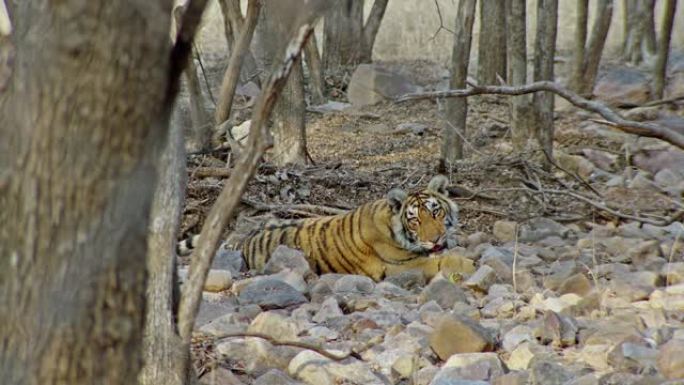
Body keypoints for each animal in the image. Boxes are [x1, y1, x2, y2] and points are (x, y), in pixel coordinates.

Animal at [179, 176, 472, 280]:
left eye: (435, 211)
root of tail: (246, 238)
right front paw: (467, 264)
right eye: (414, 220)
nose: (435, 239)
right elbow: (441, 261)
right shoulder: (400, 266)